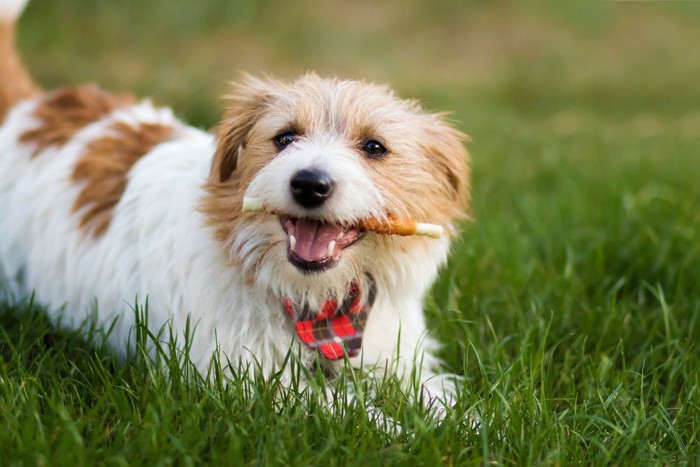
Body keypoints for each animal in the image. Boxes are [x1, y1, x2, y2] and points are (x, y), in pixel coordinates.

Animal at [1, 0, 470, 410]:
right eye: (284, 137)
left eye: (374, 147)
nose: (309, 184)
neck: (319, 306)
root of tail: (31, 108)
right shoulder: (249, 382)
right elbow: (362, 417)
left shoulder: (401, 360)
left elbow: (444, 405)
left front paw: (472, 429)